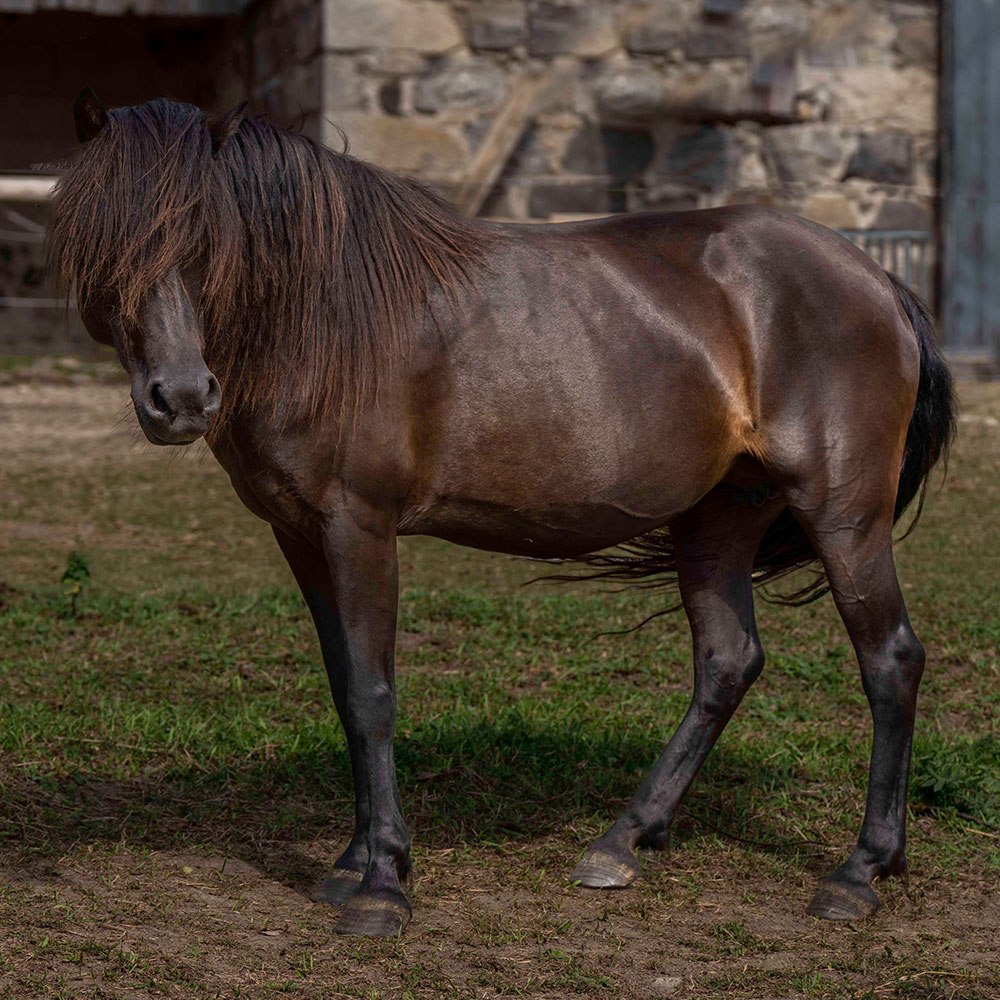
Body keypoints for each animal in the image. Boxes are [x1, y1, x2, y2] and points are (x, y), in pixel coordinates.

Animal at [47, 90, 952, 940]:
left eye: (207, 239)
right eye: (99, 236)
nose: (181, 400)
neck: (325, 319)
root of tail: (876, 281)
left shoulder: (359, 528)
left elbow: (373, 693)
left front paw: (382, 887)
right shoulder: (299, 534)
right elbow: (344, 689)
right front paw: (354, 861)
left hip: (843, 515)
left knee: (890, 661)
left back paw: (859, 871)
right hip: (718, 517)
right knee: (728, 661)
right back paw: (624, 841)